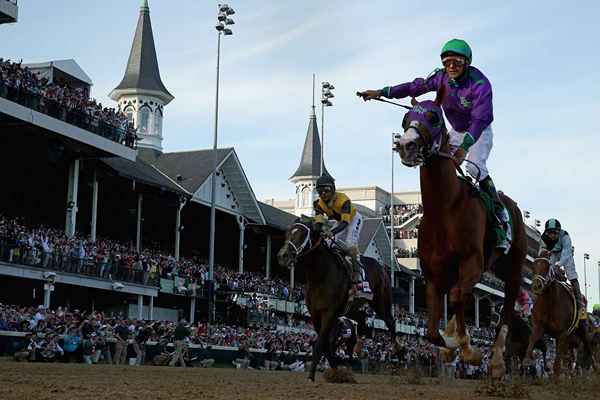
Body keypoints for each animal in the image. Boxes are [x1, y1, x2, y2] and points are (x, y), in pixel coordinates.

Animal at [276, 216, 398, 382]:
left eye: (302, 234)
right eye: (287, 233)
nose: (283, 256)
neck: (320, 275)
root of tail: (382, 268)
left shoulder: (329, 313)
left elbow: (320, 344)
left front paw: (311, 376)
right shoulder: (315, 314)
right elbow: (325, 345)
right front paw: (337, 371)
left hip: (381, 302)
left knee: (391, 322)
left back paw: (397, 354)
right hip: (352, 309)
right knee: (362, 323)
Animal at [392, 94, 528, 378]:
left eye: (433, 117)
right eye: (406, 118)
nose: (406, 145)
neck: (445, 208)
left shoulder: (472, 262)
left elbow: (456, 298)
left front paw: (468, 348)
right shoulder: (433, 274)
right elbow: (433, 331)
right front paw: (451, 343)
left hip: (512, 267)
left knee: (507, 306)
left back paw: (496, 360)